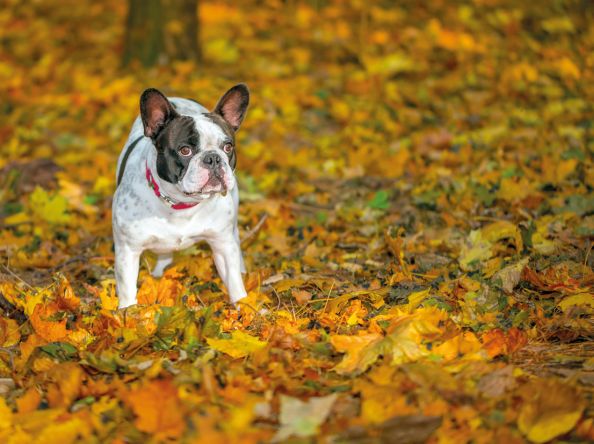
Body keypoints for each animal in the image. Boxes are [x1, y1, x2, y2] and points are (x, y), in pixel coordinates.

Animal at [112, 84, 249, 308]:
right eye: (185, 150)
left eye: (228, 147)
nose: (213, 158)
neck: (180, 204)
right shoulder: (127, 251)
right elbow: (127, 290)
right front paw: (128, 313)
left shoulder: (222, 244)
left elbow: (234, 282)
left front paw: (246, 307)